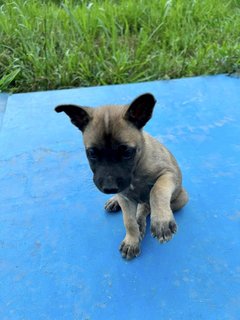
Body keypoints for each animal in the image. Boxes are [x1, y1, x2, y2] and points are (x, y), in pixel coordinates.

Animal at [55, 94, 188, 258]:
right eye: (92, 153)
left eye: (127, 152)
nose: (109, 188)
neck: (137, 166)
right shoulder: (124, 196)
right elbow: (128, 221)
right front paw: (132, 240)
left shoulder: (168, 174)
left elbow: (156, 191)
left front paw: (161, 221)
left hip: (181, 198)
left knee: (146, 206)